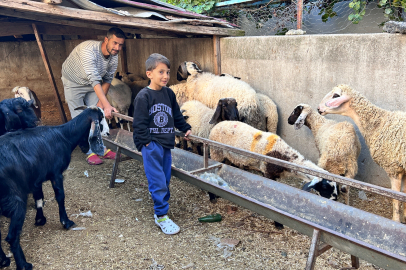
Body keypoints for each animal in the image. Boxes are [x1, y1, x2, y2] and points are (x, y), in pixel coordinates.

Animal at [318, 85, 406, 224]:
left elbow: (396, 198)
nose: (319, 108)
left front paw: (396, 221)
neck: (378, 124)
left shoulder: (393, 168)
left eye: (336, 95)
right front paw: (405, 218)